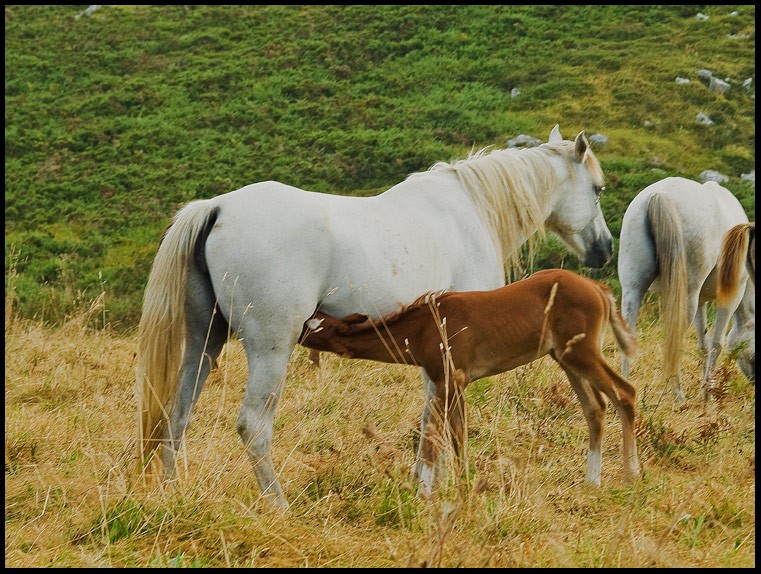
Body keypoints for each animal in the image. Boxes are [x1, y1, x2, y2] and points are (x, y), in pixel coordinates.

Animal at [135, 125, 612, 508]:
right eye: (598, 189)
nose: (604, 249)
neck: (468, 212)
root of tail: (217, 209)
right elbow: (438, 423)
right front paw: (433, 489)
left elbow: (430, 421)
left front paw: (423, 486)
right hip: (271, 350)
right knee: (253, 426)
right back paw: (279, 505)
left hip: (204, 342)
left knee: (177, 414)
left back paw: (174, 494)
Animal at [616, 178, 756, 402]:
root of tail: (660, 195)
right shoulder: (730, 297)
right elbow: (716, 344)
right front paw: (708, 395)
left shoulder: (701, 301)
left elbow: (703, 344)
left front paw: (705, 392)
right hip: (686, 297)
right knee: (675, 341)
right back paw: (678, 397)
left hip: (633, 289)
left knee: (629, 333)